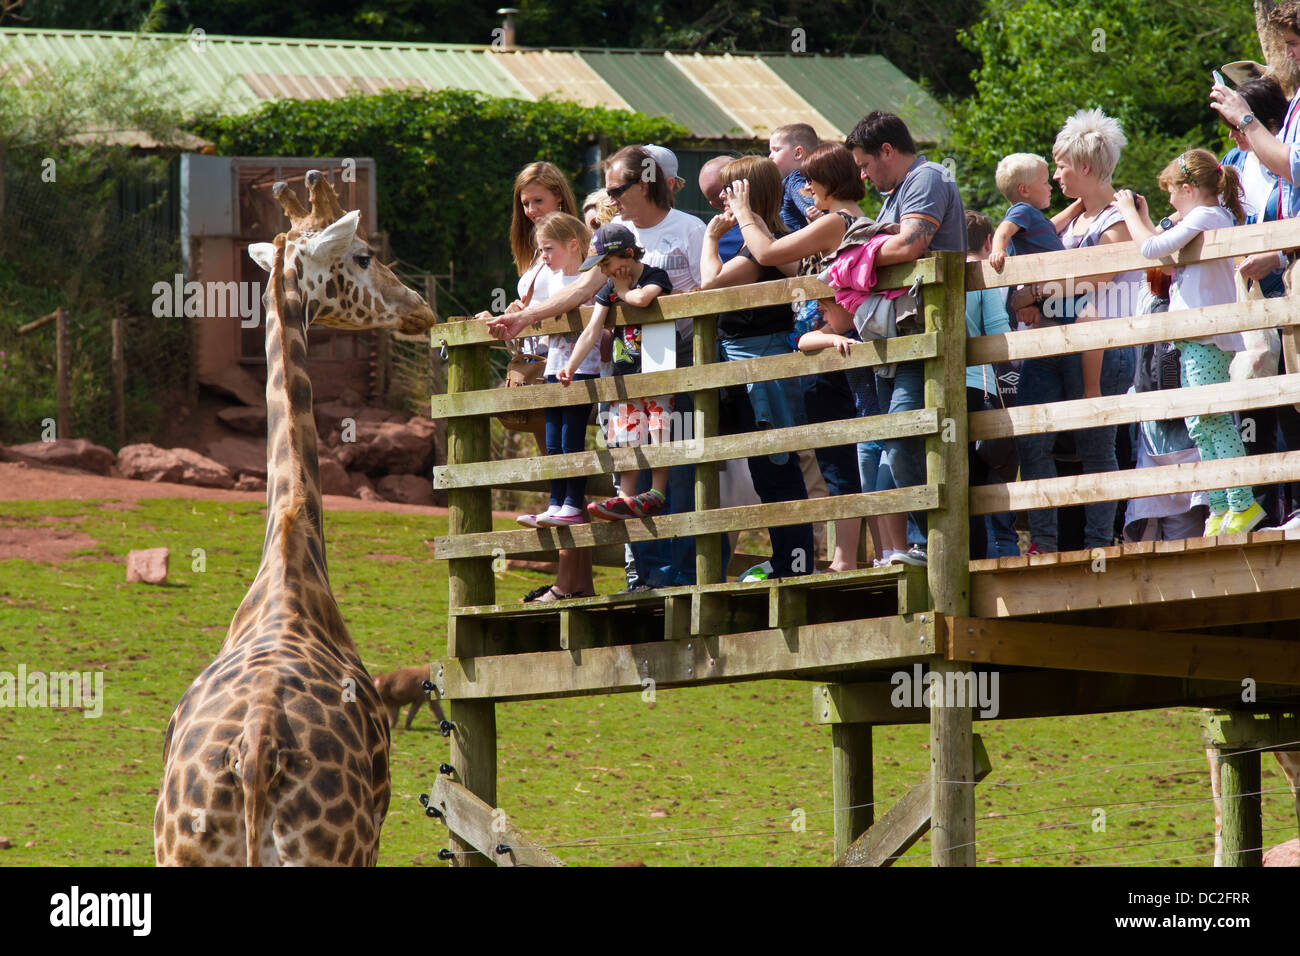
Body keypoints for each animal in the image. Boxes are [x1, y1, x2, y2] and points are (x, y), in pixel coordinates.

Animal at [152, 174, 436, 868]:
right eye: (363, 255)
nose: (420, 307)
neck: (291, 547)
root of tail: (254, 755)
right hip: (338, 850)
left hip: (179, 848)